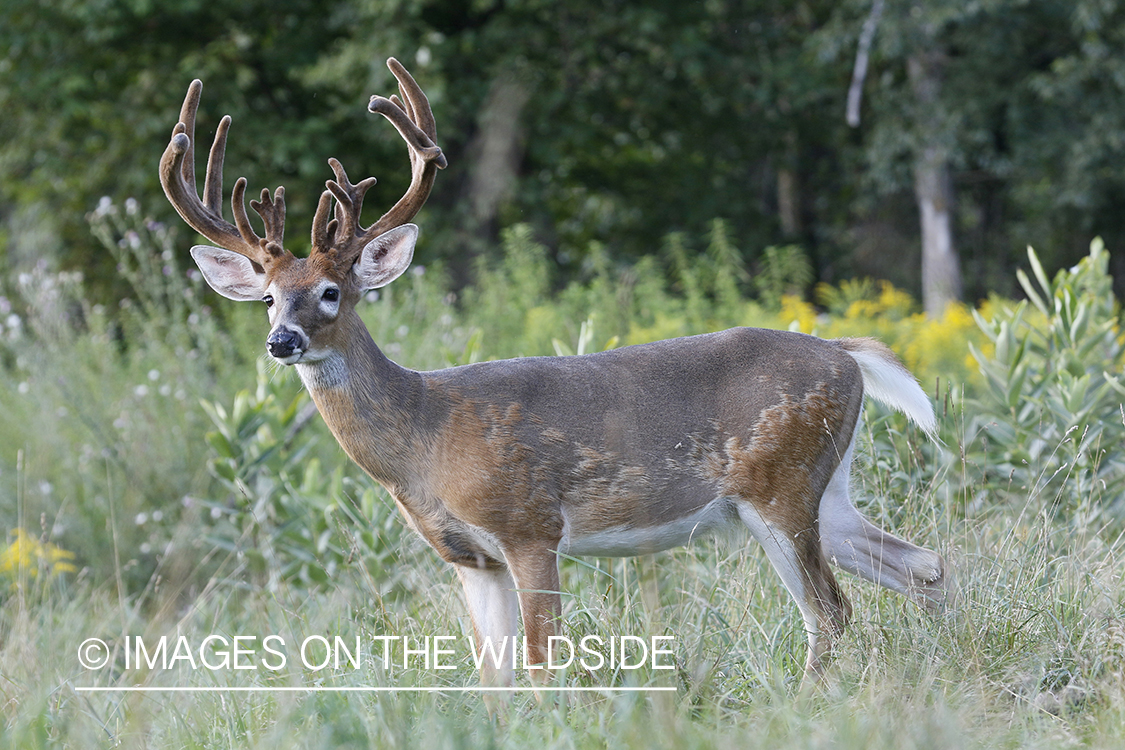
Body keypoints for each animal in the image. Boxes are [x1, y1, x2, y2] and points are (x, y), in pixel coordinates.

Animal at [158, 58, 949, 692]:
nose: (281, 341)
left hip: (778, 485)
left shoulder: (528, 524)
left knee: (830, 609)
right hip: (824, 487)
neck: (425, 439)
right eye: (267, 297)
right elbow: (494, 677)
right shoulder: (471, 558)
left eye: (329, 292)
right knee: (922, 566)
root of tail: (845, 355)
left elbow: (543, 664)